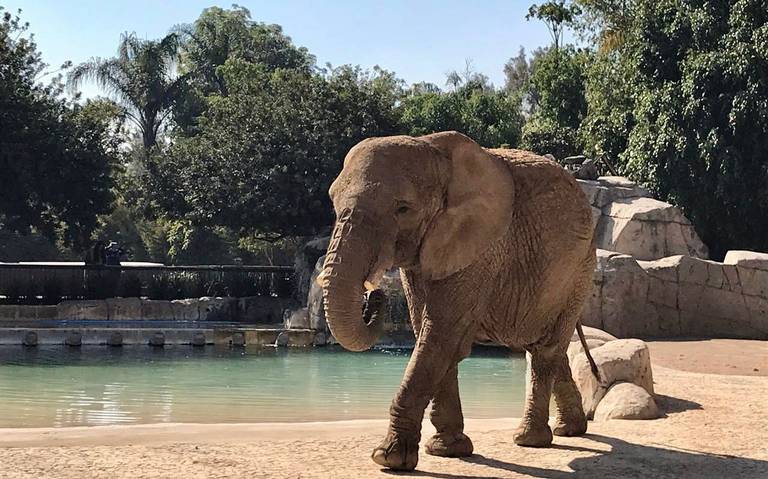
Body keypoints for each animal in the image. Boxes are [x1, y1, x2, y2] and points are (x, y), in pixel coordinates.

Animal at [318, 131, 600, 472]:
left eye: (403, 209)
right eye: (333, 203)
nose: (375, 297)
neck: (431, 148)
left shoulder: (480, 249)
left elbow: (441, 333)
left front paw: (389, 458)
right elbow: (430, 334)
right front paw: (447, 450)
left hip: (579, 270)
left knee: (546, 348)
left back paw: (530, 439)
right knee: (549, 347)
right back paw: (570, 430)